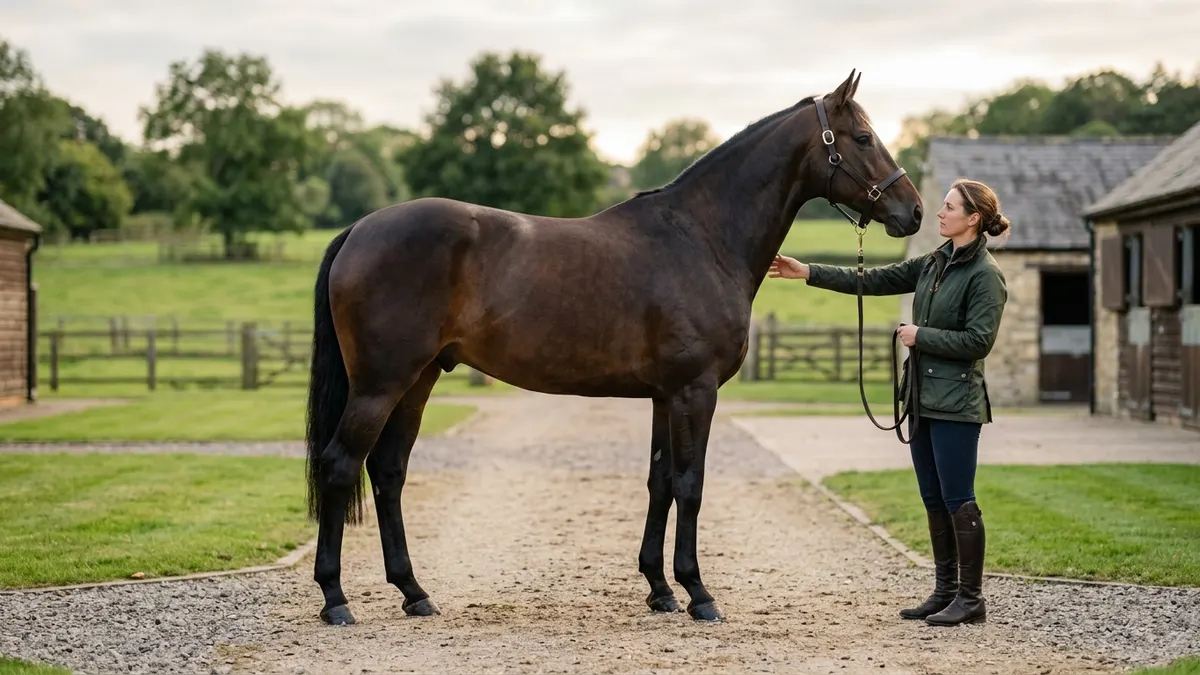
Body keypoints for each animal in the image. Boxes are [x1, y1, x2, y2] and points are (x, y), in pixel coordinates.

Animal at [303, 69, 924, 626]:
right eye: (862, 138)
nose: (913, 211)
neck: (701, 238)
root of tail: (360, 229)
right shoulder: (695, 391)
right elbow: (691, 485)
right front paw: (699, 594)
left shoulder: (664, 396)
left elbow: (660, 482)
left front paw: (660, 589)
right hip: (380, 384)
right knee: (340, 466)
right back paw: (336, 600)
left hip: (419, 379)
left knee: (387, 471)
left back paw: (414, 592)